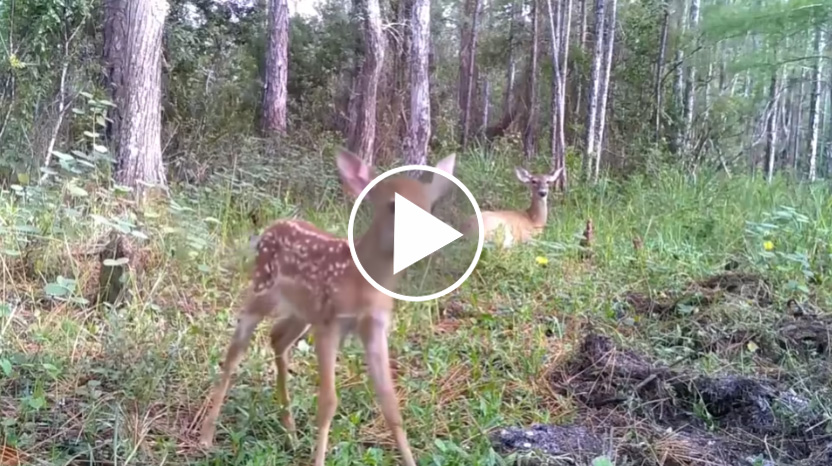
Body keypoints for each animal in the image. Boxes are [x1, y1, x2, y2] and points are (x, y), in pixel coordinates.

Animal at [197, 149, 456, 466]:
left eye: (430, 206)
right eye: (393, 205)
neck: (362, 283)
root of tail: (270, 228)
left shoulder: (374, 326)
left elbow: (390, 404)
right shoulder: (330, 324)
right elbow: (328, 401)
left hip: (302, 312)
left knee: (277, 336)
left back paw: (291, 433)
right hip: (263, 291)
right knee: (236, 350)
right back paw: (206, 436)